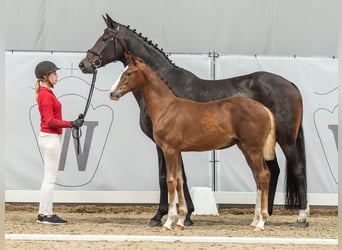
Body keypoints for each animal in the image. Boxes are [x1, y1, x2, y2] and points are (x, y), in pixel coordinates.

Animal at [111, 55, 276, 231]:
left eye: (128, 73)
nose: (112, 93)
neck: (166, 108)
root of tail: (265, 109)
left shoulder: (169, 150)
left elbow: (171, 181)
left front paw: (169, 222)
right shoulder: (177, 151)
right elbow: (179, 180)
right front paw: (180, 221)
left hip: (253, 149)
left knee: (264, 175)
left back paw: (261, 222)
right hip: (244, 148)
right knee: (257, 177)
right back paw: (254, 221)